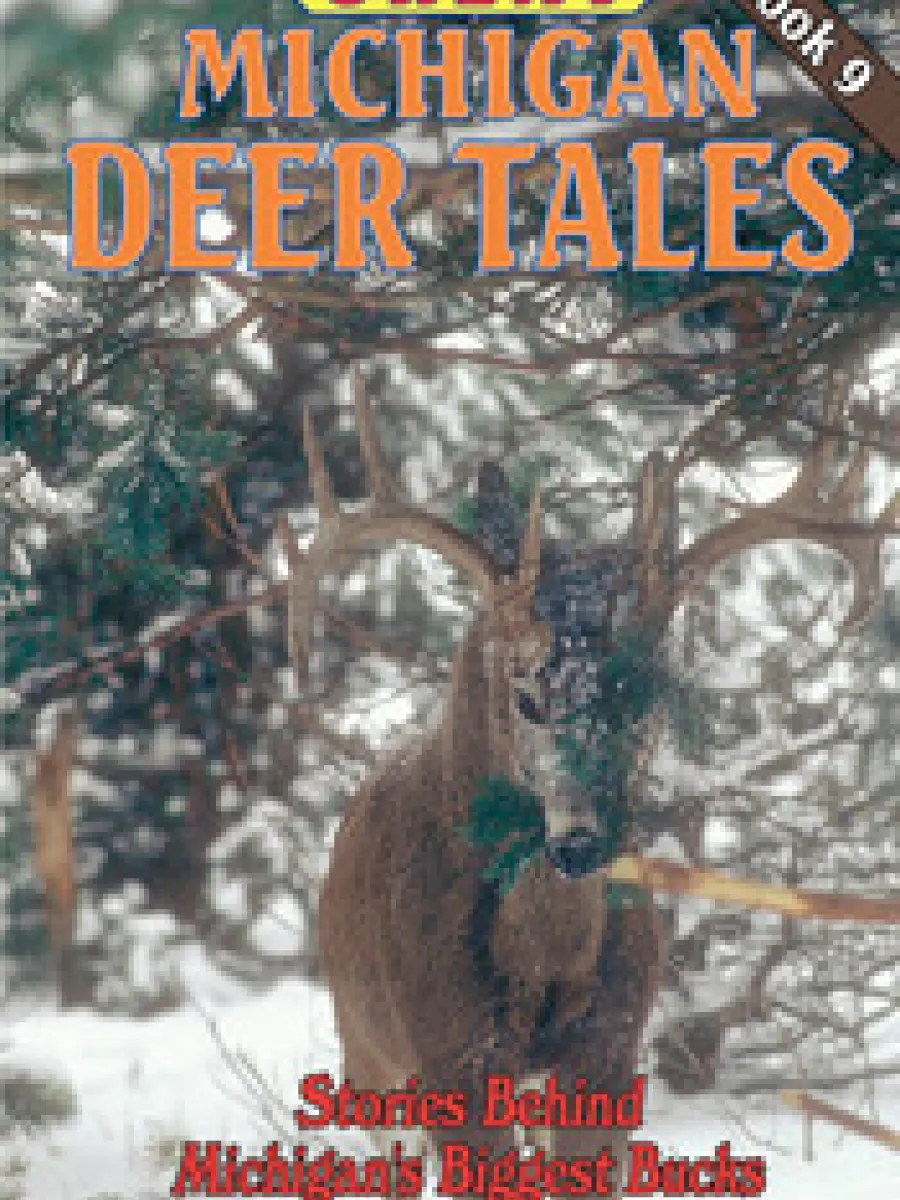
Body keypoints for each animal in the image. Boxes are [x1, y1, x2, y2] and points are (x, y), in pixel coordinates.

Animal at [280, 373, 896, 1198]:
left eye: (645, 691)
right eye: (524, 694)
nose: (580, 841)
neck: (544, 961)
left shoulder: (608, 1049)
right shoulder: (450, 1051)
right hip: (368, 1054)